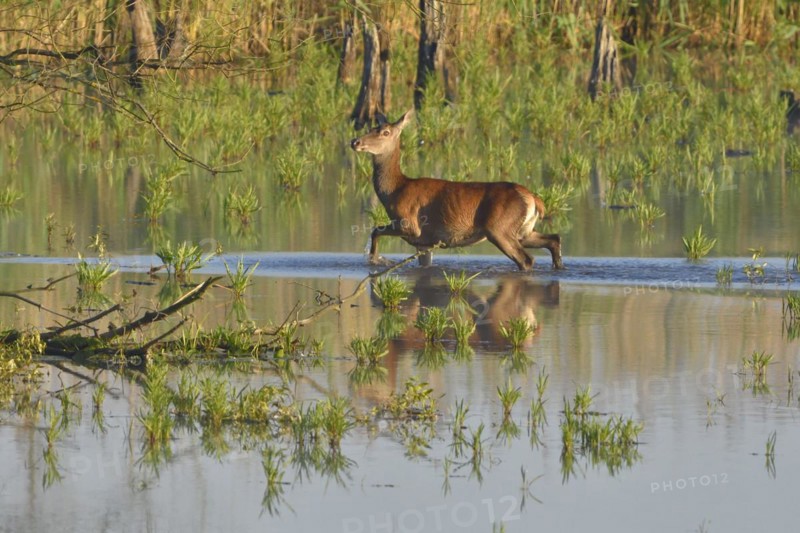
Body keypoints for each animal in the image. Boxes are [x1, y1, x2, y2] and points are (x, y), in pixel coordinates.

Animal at [350, 109, 563, 271]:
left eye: (385, 132)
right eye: (371, 128)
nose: (355, 142)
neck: (395, 191)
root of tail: (534, 199)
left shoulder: (410, 224)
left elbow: (375, 231)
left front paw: (375, 259)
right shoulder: (424, 242)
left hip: (499, 228)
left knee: (526, 259)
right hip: (524, 231)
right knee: (554, 239)